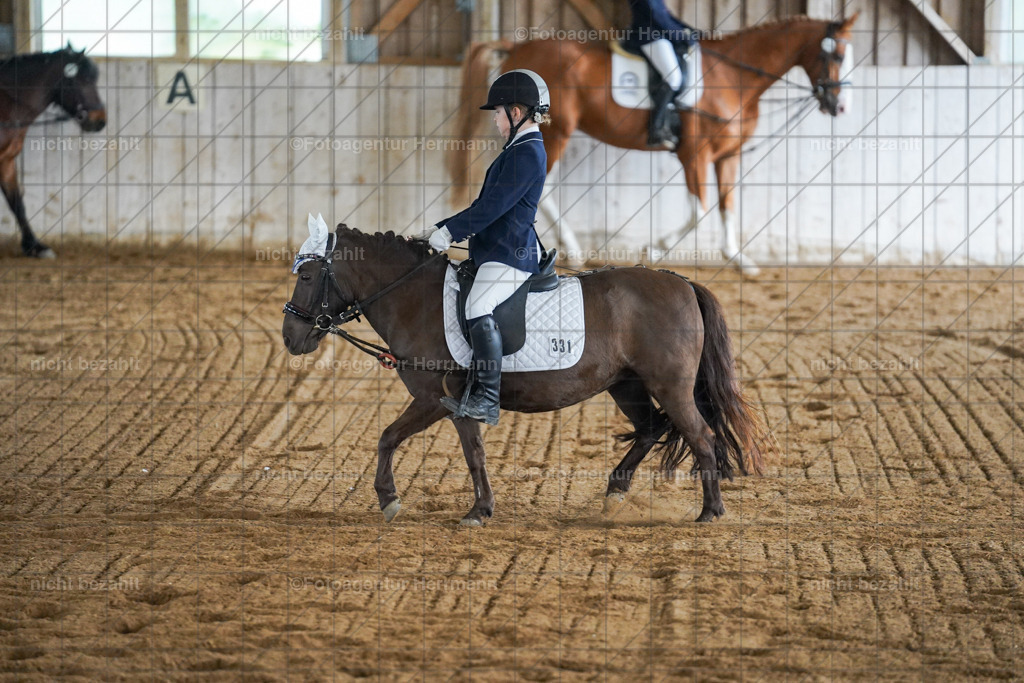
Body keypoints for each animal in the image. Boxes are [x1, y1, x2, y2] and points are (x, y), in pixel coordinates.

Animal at [281, 226, 777, 526]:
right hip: (627, 385)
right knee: (652, 428)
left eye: (306, 276)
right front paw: (471, 506)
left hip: (669, 386)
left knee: (701, 436)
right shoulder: (450, 404)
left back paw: (710, 511)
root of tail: (681, 281)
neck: (414, 298)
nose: (290, 336)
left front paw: (404, 501)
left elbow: (407, 441)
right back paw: (616, 491)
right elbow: (460, 451)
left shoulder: (437, 398)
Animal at [448, 14, 859, 276]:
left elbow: (727, 207)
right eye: (836, 55)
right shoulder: (694, 154)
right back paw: (574, 252)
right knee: (541, 191)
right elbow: (700, 213)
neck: (734, 76)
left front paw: (740, 260)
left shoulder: (728, 155)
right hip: (556, 131)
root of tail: (516, 48)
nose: (840, 106)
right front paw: (654, 248)